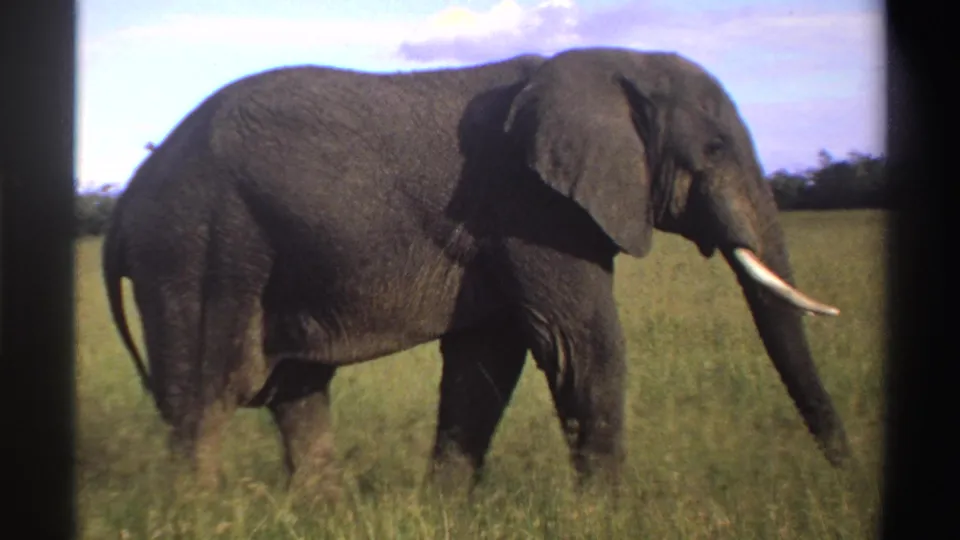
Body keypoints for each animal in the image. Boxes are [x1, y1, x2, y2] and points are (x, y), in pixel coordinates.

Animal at [102, 46, 850, 497]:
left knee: (296, 392)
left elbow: (485, 363)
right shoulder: (533, 206)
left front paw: (443, 510)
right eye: (717, 147)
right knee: (204, 399)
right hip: (199, 248)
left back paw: (323, 512)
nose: (846, 474)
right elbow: (582, 346)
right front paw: (609, 516)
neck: (612, 62)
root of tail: (127, 200)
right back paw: (203, 515)